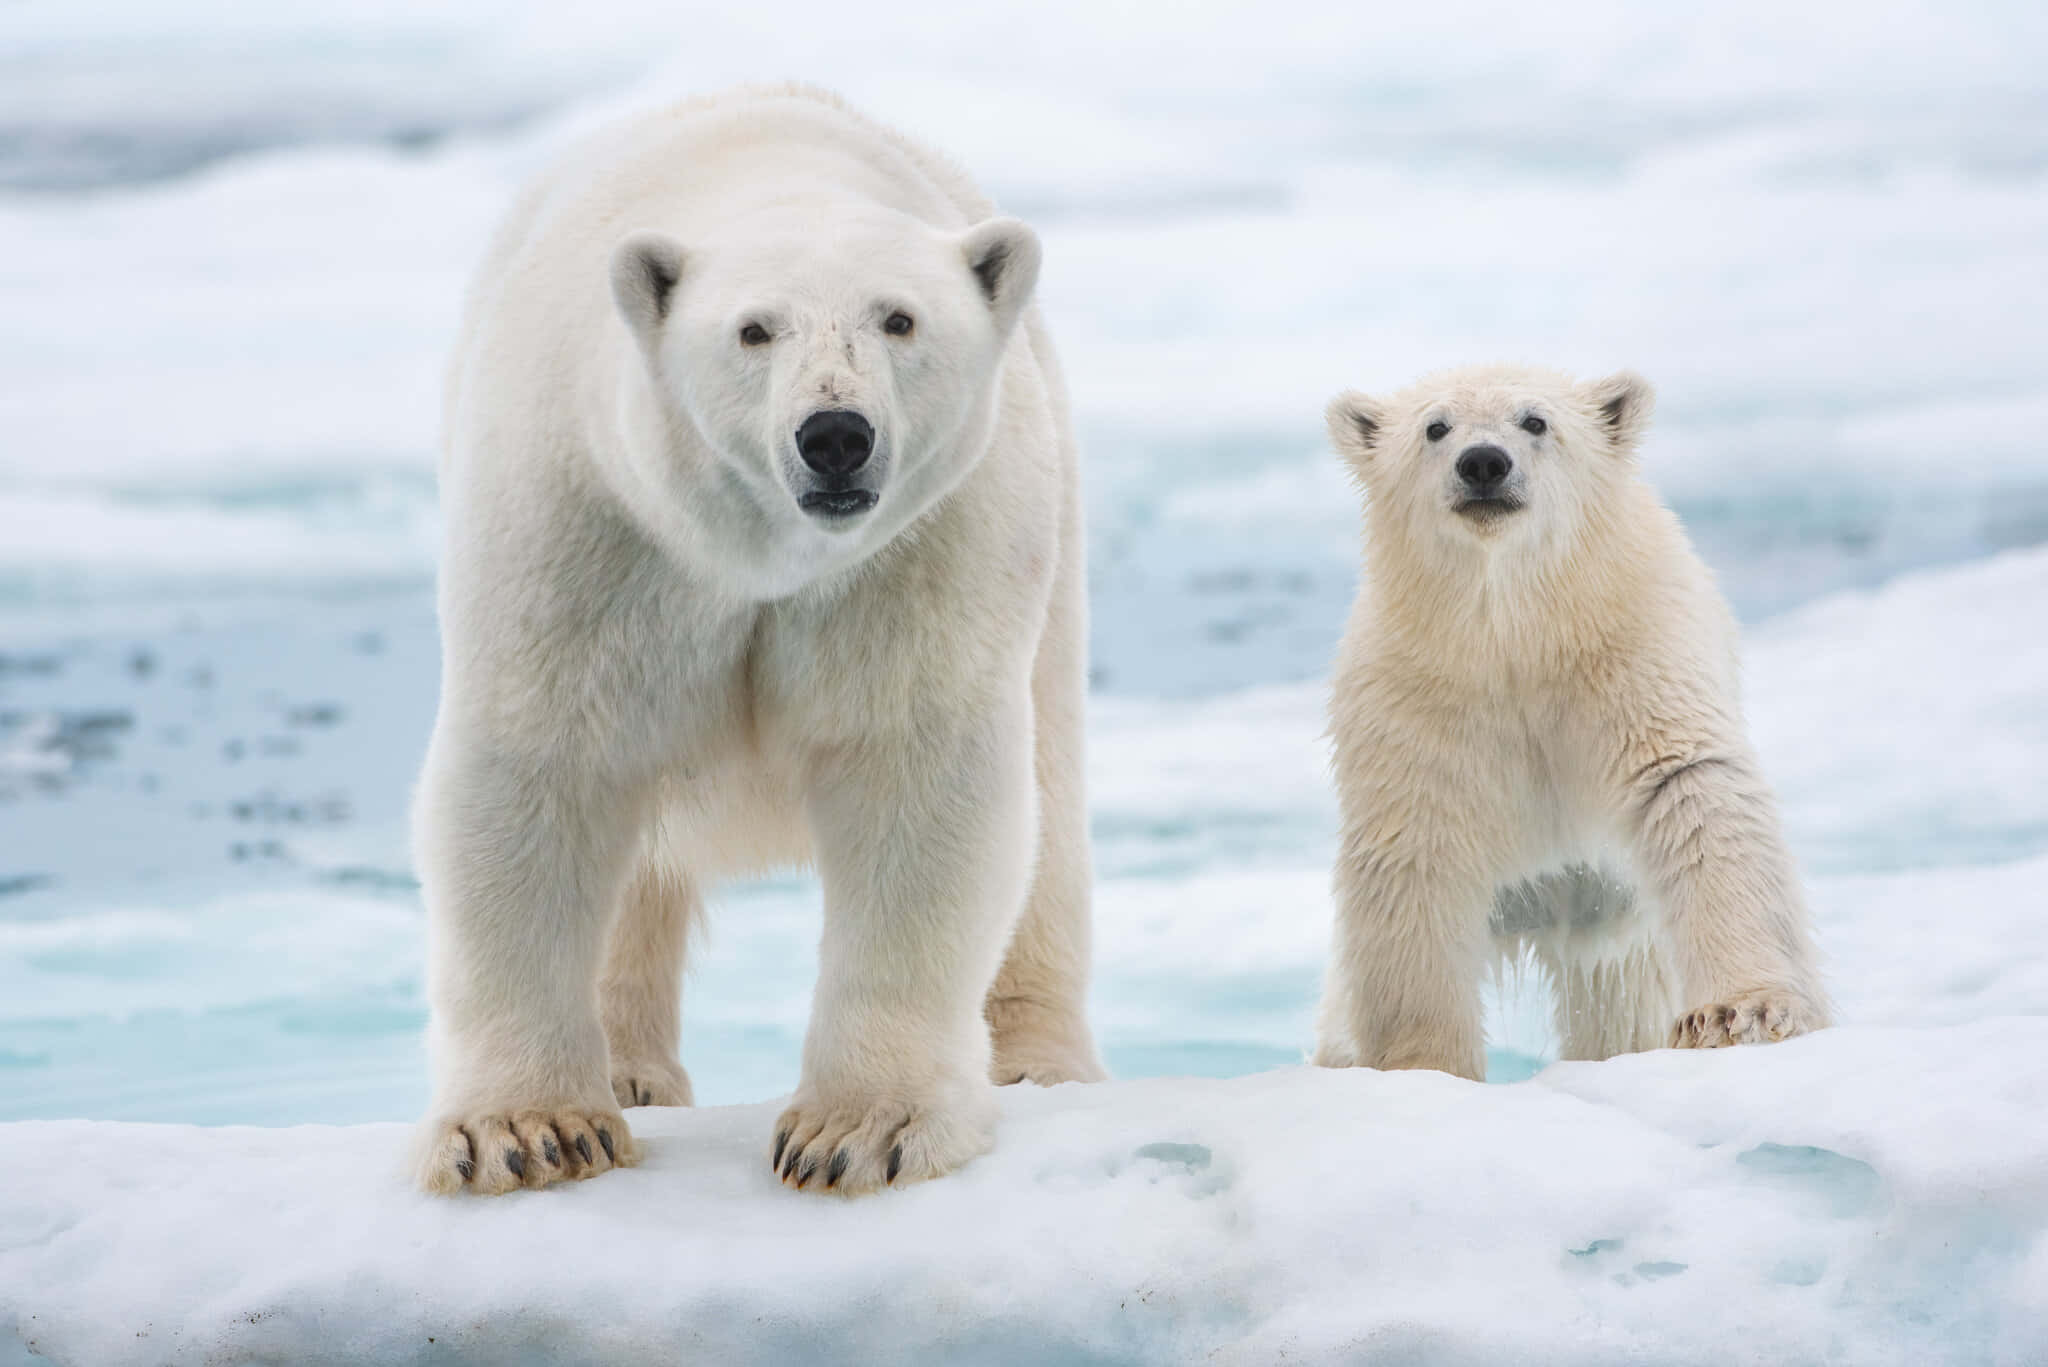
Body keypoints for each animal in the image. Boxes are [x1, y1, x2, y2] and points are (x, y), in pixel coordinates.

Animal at [411, 84, 1105, 1197]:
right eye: (753, 330)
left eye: (897, 317)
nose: (835, 435)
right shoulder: (590, 525)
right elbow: (539, 767)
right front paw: (526, 1132)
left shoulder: (923, 550)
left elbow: (918, 780)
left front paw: (857, 1131)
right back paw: (632, 1072)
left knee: (1046, 799)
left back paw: (1037, 1062)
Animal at [1311, 364, 1830, 1078]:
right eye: (1435, 427)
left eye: (1536, 420)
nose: (1484, 462)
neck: (1522, 635)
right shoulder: (1414, 698)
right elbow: (1415, 859)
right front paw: (1424, 1065)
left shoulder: (1634, 658)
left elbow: (1690, 791)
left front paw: (1739, 1013)